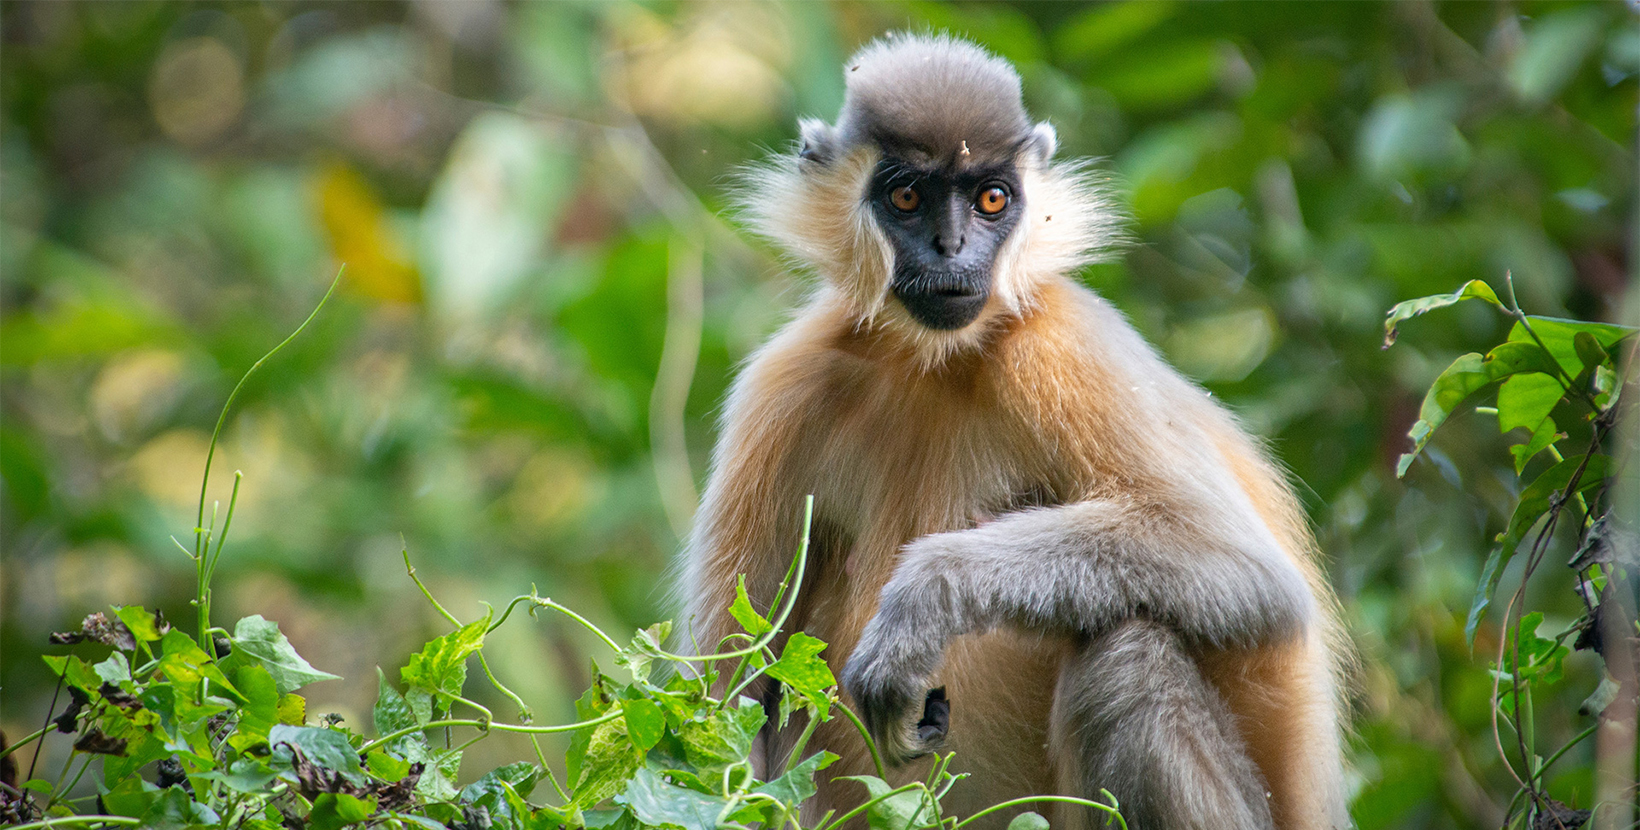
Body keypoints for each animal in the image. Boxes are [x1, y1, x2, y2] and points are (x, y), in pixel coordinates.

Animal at [675, 32, 1344, 830]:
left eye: (991, 198)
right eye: (907, 196)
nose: (951, 247)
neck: (930, 360)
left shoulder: (1060, 341)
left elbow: (1249, 572)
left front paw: (923, 601)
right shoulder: (785, 384)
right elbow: (726, 700)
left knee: (1128, 653)